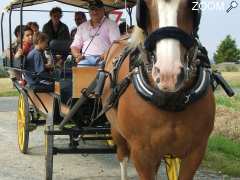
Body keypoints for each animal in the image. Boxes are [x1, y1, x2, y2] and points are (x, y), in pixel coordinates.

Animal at [101, 0, 216, 179]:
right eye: (146, 5)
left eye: (191, 5)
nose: (169, 74)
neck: (171, 101)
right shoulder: (141, 154)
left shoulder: (196, 152)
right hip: (116, 131)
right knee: (123, 158)